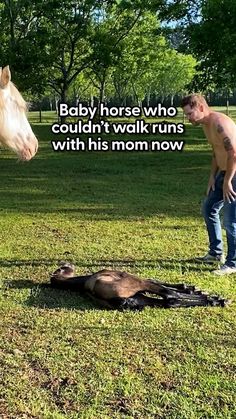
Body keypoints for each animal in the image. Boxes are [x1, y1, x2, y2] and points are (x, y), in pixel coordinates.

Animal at [50, 264, 229, 310]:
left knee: (168, 302)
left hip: (139, 299)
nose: (69, 264)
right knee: (170, 297)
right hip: (136, 284)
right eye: (63, 268)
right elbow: (166, 287)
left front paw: (191, 288)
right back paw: (217, 300)